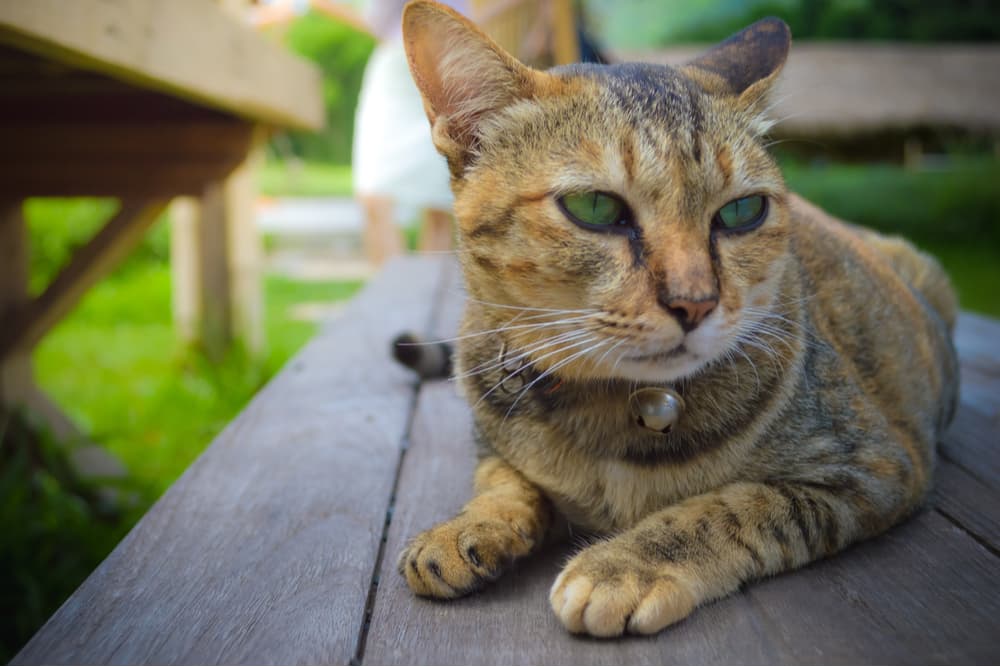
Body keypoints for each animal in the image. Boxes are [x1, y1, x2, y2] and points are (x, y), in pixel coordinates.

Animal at [390, 0, 960, 636]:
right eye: (595, 207)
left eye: (742, 211)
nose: (696, 301)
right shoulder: (491, 438)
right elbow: (502, 481)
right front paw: (465, 527)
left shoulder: (874, 465)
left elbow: (738, 506)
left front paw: (625, 564)